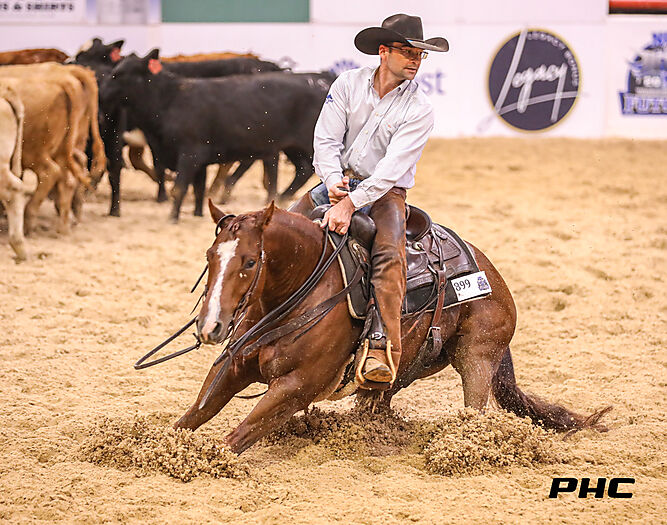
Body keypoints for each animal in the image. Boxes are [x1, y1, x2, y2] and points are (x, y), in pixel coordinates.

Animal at [102, 50, 331, 222]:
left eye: (120, 74)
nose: (103, 92)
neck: (171, 100)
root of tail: (321, 83)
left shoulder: (190, 153)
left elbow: (180, 187)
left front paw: (173, 217)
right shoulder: (196, 159)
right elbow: (198, 188)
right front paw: (197, 213)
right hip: (293, 147)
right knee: (303, 169)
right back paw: (282, 197)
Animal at [173, 200, 609, 454]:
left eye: (249, 261)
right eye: (210, 255)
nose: (210, 326)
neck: (298, 293)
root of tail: (492, 274)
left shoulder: (297, 387)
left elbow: (235, 439)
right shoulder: (233, 366)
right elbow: (193, 415)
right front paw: (166, 447)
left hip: (478, 357)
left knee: (475, 406)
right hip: (398, 371)